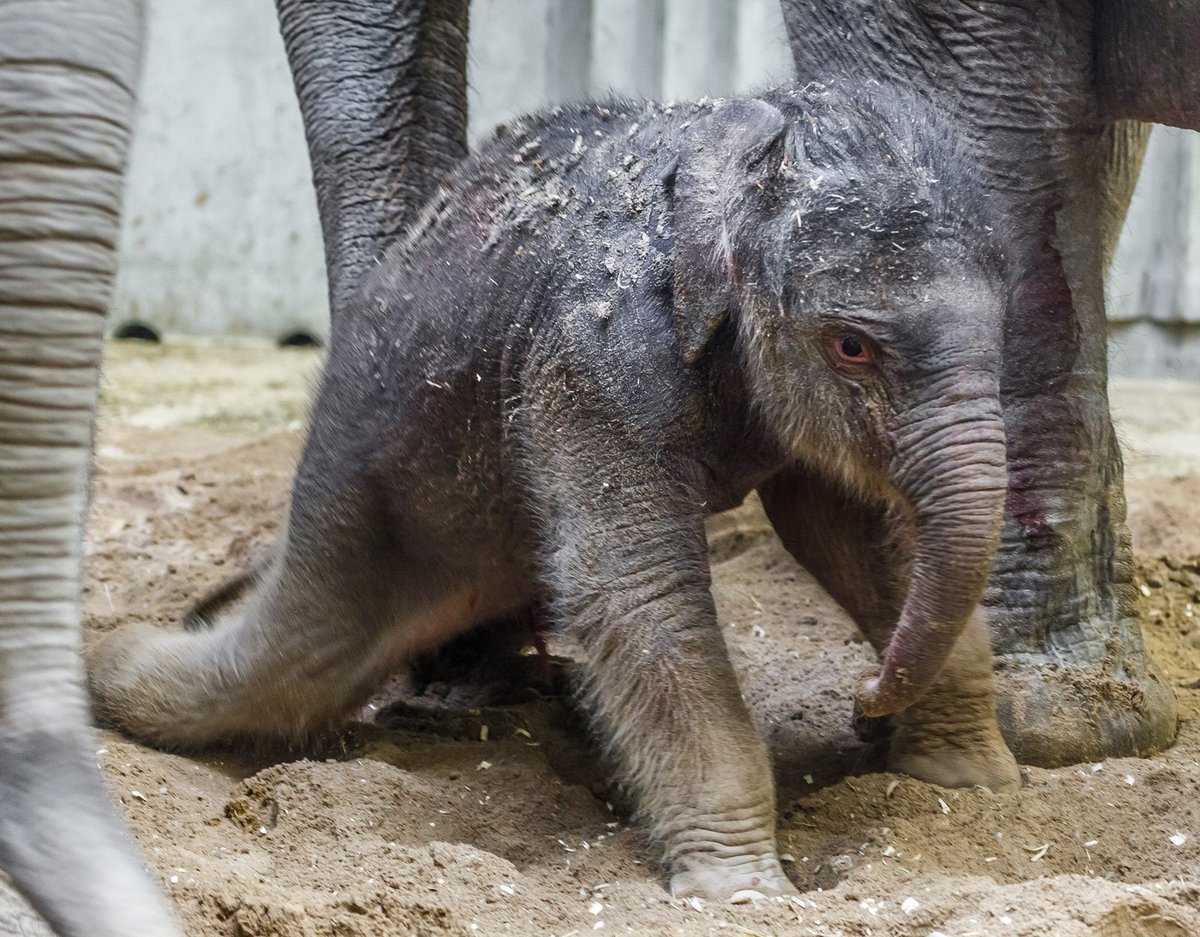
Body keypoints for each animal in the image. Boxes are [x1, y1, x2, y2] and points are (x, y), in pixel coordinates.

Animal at [88, 85, 1017, 897]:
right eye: (852, 345)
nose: (863, 699)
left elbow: (849, 528)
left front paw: (970, 778)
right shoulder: (589, 361)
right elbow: (635, 586)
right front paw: (745, 892)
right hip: (358, 489)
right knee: (292, 670)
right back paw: (110, 662)